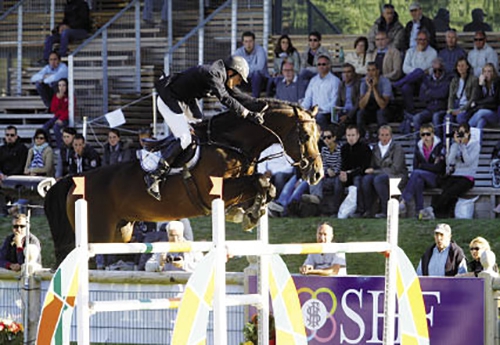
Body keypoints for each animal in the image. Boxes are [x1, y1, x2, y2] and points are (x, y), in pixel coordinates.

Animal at [44, 98, 324, 264]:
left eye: (319, 134)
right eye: (304, 135)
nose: (317, 173)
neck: (232, 143)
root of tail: (73, 179)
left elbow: (267, 186)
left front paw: (249, 213)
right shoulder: (214, 191)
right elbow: (261, 183)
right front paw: (249, 214)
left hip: (119, 235)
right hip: (96, 234)